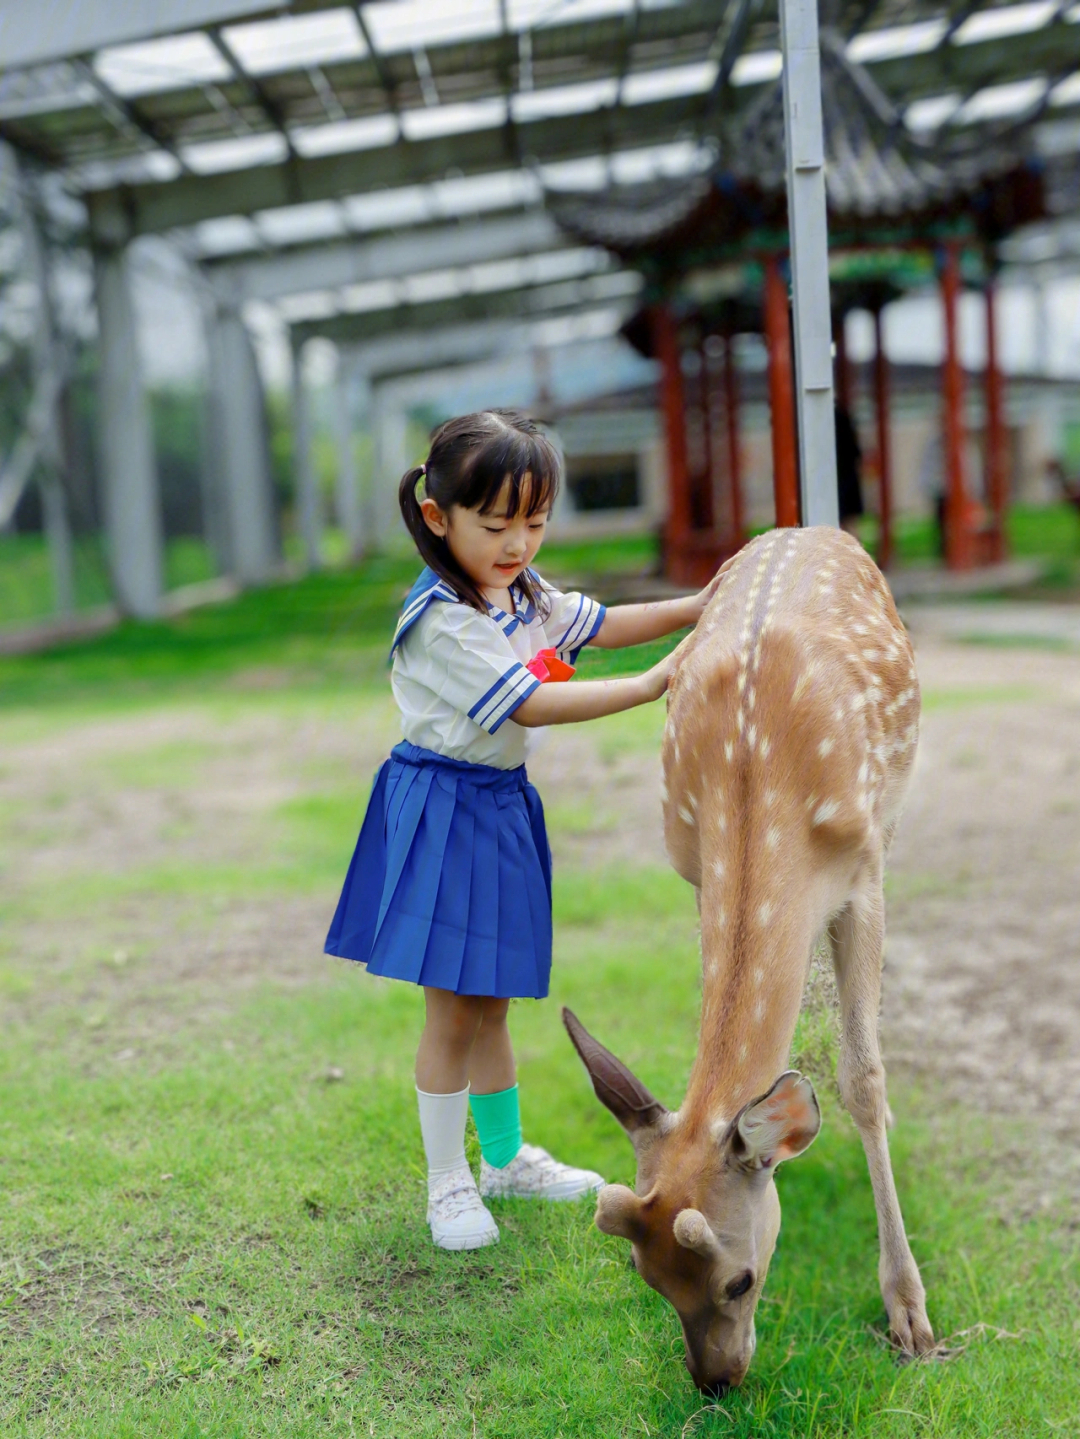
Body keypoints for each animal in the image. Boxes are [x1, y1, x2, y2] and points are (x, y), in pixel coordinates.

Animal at [566, 526, 937, 1392]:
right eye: (647, 1278)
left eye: (739, 1279)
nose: (716, 1380)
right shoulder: (694, 870)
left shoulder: (863, 876)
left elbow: (863, 1078)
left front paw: (909, 1312)